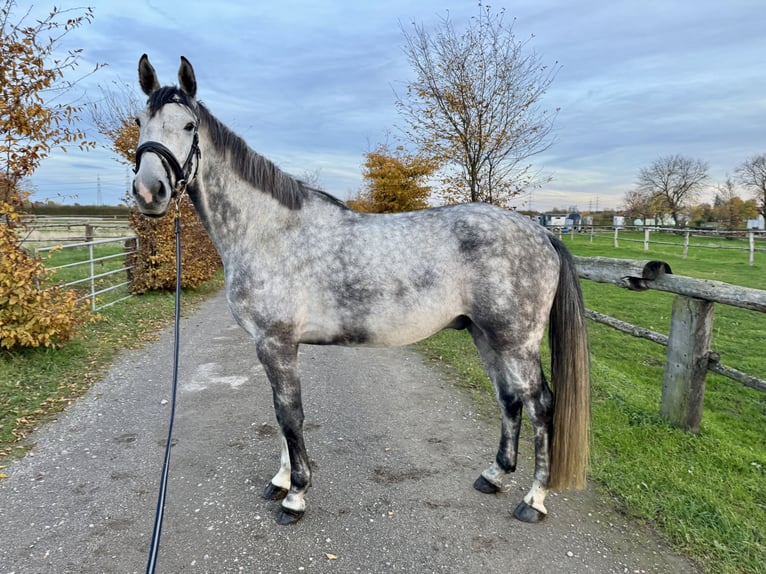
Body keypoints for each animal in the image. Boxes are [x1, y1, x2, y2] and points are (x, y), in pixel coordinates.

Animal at [131, 55, 591, 526]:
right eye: (140, 121)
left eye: (189, 125)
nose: (149, 192)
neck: (268, 231)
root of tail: (541, 232)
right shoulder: (272, 346)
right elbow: (279, 414)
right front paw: (280, 480)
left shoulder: (276, 343)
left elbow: (290, 416)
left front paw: (295, 495)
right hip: (485, 335)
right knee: (509, 400)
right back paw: (494, 476)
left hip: (516, 342)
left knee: (540, 406)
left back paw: (533, 500)